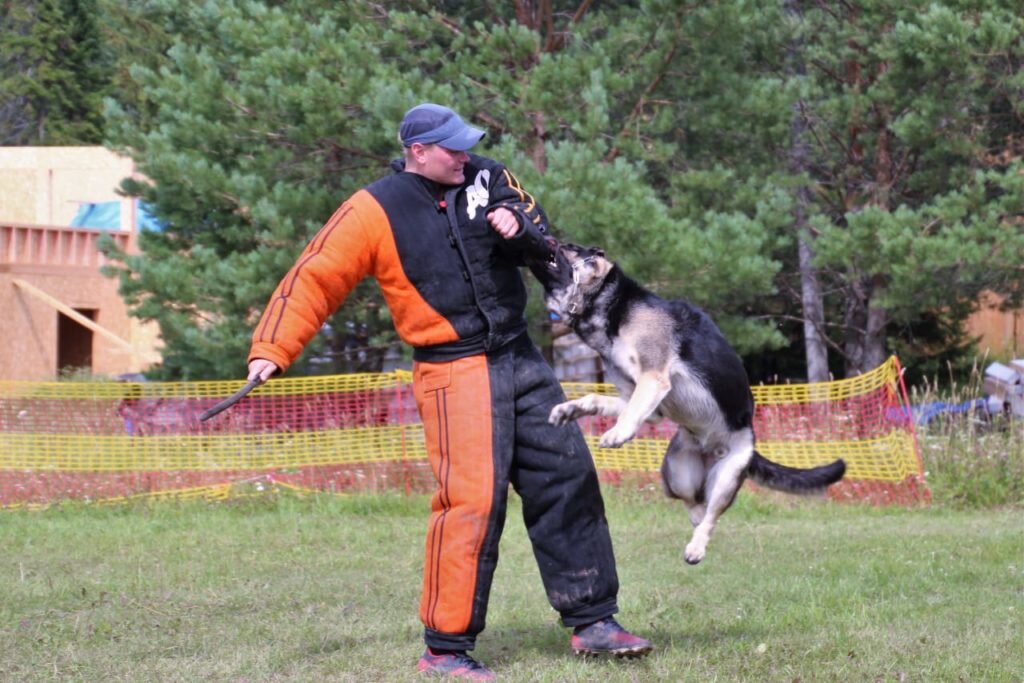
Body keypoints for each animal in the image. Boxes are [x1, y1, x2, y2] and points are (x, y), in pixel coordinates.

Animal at [528, 242, 847, 565]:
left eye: (571, 248)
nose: (551, 240)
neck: (612, 306)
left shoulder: (653, 379)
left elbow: (630, 412)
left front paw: (617, 433)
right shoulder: (648, 405)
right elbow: (601, 399)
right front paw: (571, 409)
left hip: (726, 477)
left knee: (712, 516)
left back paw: (696, 548)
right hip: (676, 471)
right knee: (694, 505)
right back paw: (694, 524)